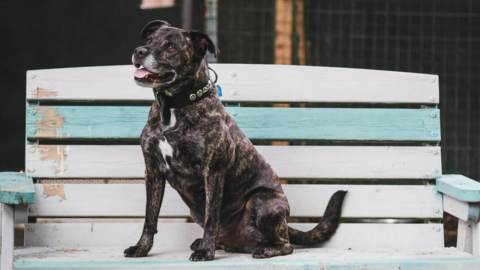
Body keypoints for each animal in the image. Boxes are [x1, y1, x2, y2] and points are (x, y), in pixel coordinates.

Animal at [124, 20, 346, 260]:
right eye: (149, 40)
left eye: (171, 47)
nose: (139, 51)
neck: (173, 107)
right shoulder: (153, 171)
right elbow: (150, 217)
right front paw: (141, 248)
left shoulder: (213, 172)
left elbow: (212, 218)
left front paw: (206, 251)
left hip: (261, 201)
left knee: (286, 245)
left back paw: (263, 249)